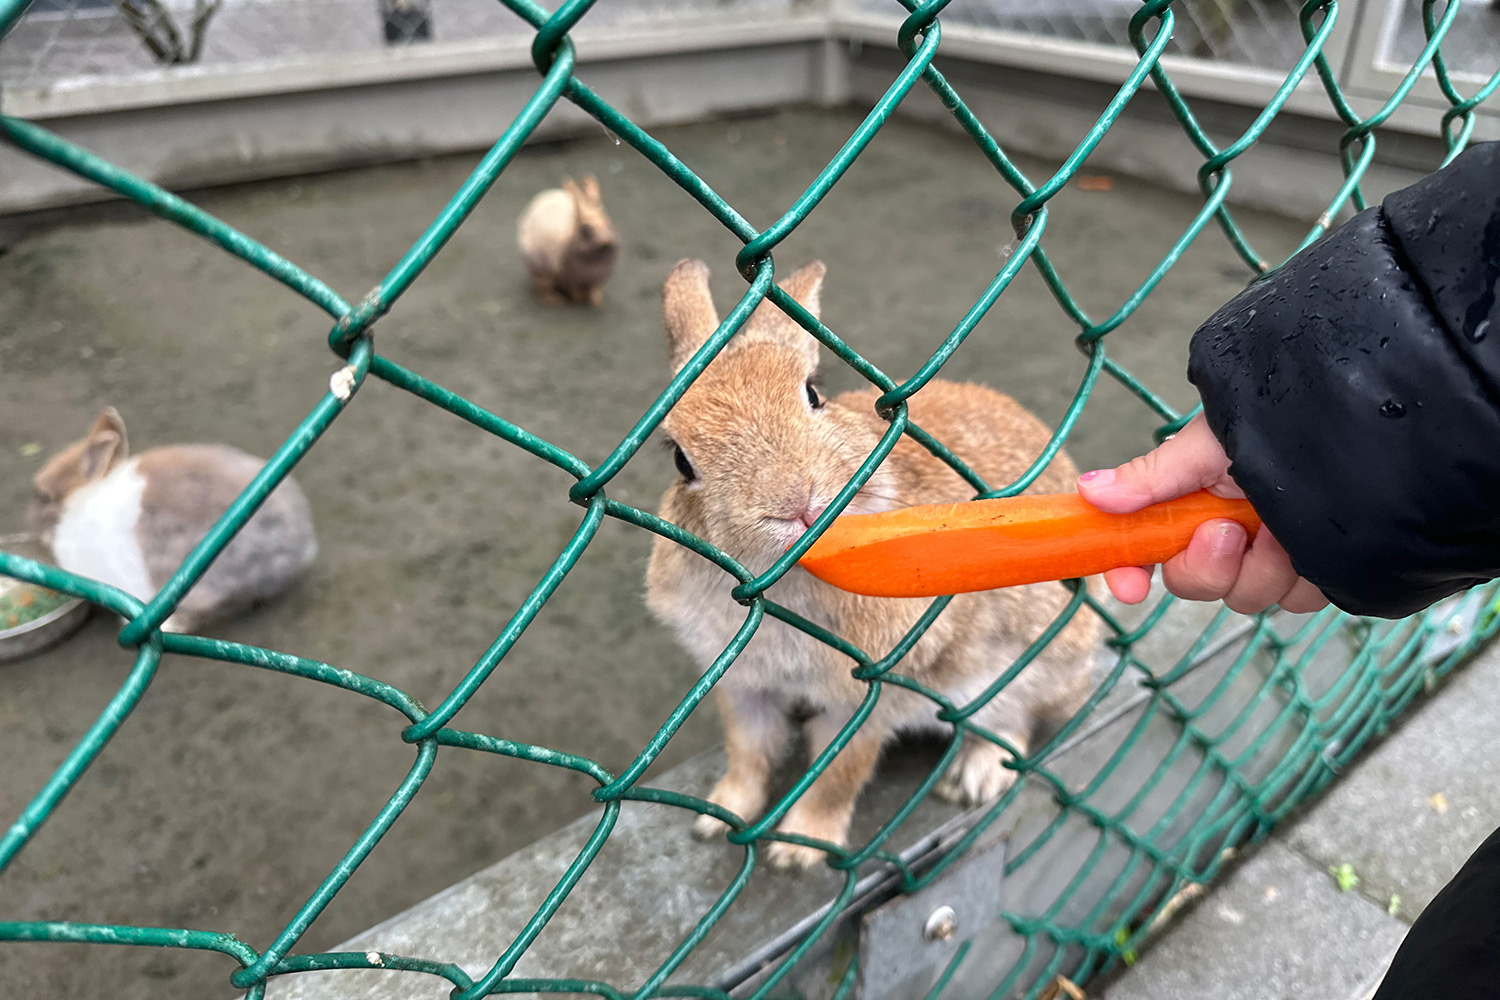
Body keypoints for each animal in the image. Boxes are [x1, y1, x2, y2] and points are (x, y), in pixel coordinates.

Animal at [519, 173, 618, 305]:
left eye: (609, 223)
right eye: (586, 230)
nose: (607, 242)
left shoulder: (599, 280)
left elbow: (594, 291)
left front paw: (595, 301)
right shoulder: (570, 278)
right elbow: (574, 290)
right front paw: (578, 299)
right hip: (539, 269)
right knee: (542, 286)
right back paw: (554, 299)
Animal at [645, 257, 1104, 869]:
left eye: (813, 395)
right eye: (681, 461)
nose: (796, 500)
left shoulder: (866, 697)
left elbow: (839, 773)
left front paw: (799, 850)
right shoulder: (746, 686)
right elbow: (750, 751)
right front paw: (721, 816)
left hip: (1034, 669)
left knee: (1014, 724)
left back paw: (977, 778)